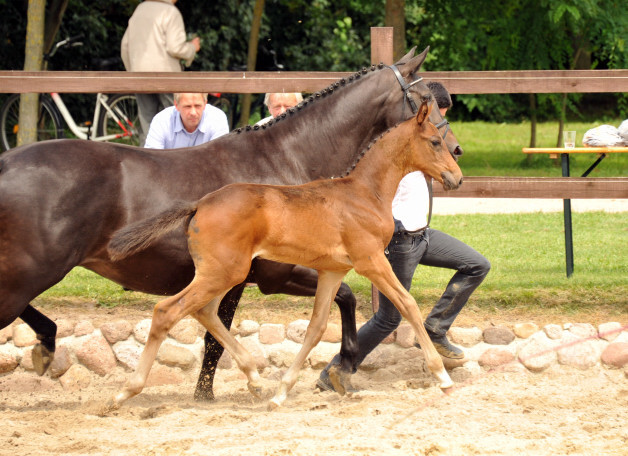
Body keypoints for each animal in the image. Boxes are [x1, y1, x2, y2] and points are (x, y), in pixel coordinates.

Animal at [106, 97, 462, 410]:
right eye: (434, 141)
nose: (456, 177)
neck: (364, 193)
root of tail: (200, 204)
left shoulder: (333, 271)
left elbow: (317, 327)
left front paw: (281, 393)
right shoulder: (371, 261)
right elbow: (408, 305)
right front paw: (442, 377)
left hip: (223, 274)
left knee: (204, 312)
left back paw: (255, 380)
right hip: (224, 273)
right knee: (167, 311)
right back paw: (124, 393)